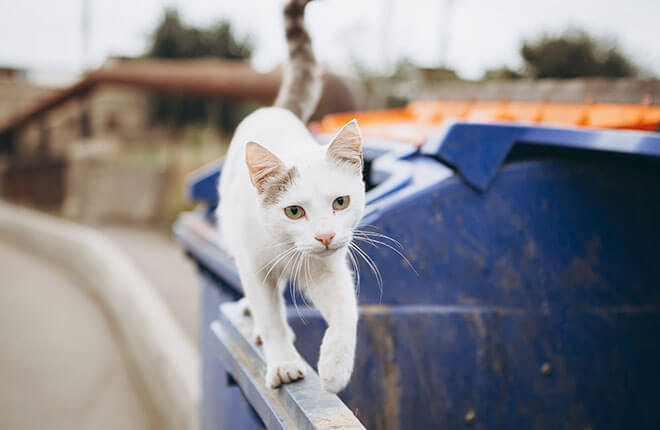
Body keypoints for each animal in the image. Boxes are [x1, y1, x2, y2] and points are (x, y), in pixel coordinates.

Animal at [217, 0, 360, 394]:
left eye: (341, 202)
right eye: (293, 211)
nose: (325, 236)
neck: (287, 250)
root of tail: (277, 109)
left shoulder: (329, 267)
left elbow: (347, 310)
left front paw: (335, 366)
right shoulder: (254, 267)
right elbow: (272, 318)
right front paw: (283, 363)